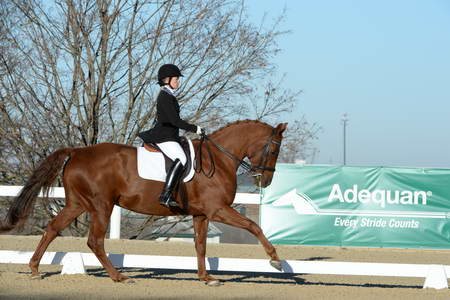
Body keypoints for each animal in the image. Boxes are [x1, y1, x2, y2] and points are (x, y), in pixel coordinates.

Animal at [0, 119, 288, 286]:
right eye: (274, 149)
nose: (265, 181)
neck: (219, 159)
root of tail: (78, 152)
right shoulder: (218, 210)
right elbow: (253, 226)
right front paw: (275, 261)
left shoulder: (202, 215)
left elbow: (201, 246)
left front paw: (206, 277)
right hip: (102, 206)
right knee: (94, 241)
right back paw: (119, 277)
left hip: (77, 204)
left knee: (52, 229)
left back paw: (35, 268)